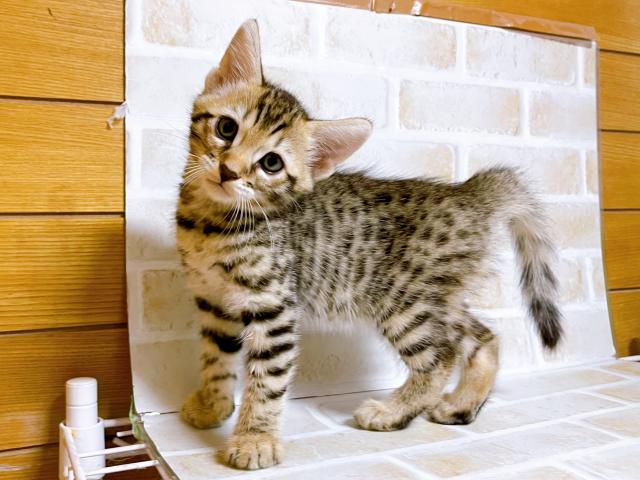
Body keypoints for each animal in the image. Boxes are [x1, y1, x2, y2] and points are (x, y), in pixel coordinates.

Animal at [176, 19, 562, 470]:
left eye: (271, 163)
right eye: (226, 128)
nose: (228, 170)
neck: (212, 223)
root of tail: (469, 192)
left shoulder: (273, 306)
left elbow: (266, 380)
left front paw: (255, 439)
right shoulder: (214, 301)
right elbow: (215, 357)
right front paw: (213, 403)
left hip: (403, 302)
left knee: (441, 355)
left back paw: (394, 411)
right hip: (441, 299)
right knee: (483, 336)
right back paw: (462, 403)